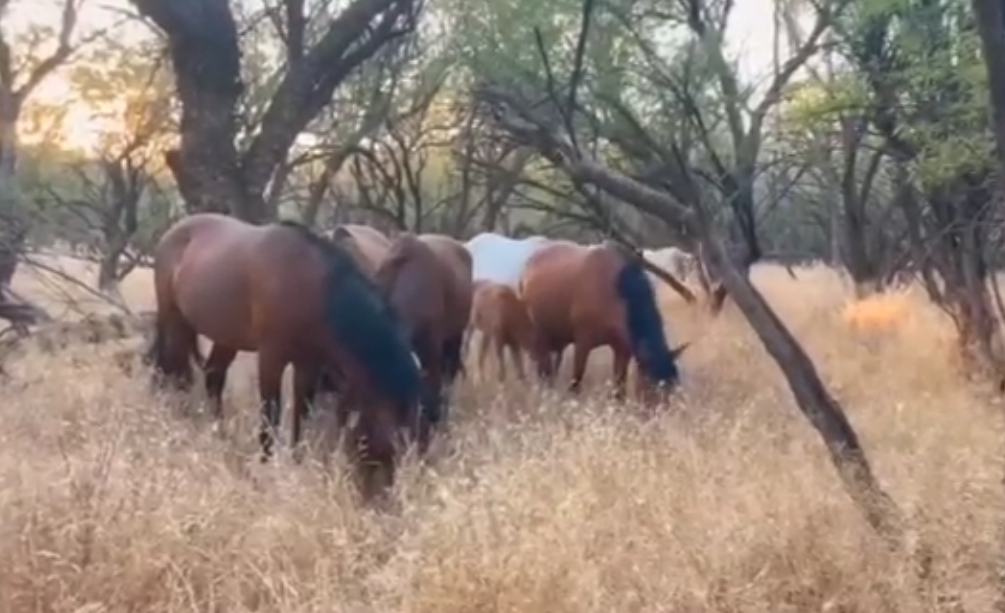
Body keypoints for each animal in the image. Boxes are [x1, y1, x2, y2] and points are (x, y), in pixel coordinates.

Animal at [146, 213, 423, 495]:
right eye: (378, 432)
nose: (380, 495)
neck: (309, 285)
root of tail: (176, 230)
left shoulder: (308, 363)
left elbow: (302, 412)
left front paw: (297, 462)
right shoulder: (272, 358)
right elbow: (271, 413)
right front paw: (267, 466)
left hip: (226, 337)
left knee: (213, 378)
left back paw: (218, 435)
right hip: (174, 320)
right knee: (167, 372)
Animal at [519, 240, 687, 400]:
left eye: (673, 386)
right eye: (652, 386)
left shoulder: (623, 348)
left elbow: (619, 390)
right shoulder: (583, 342)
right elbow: (576, 382)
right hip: (540, 334)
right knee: (544, 369)